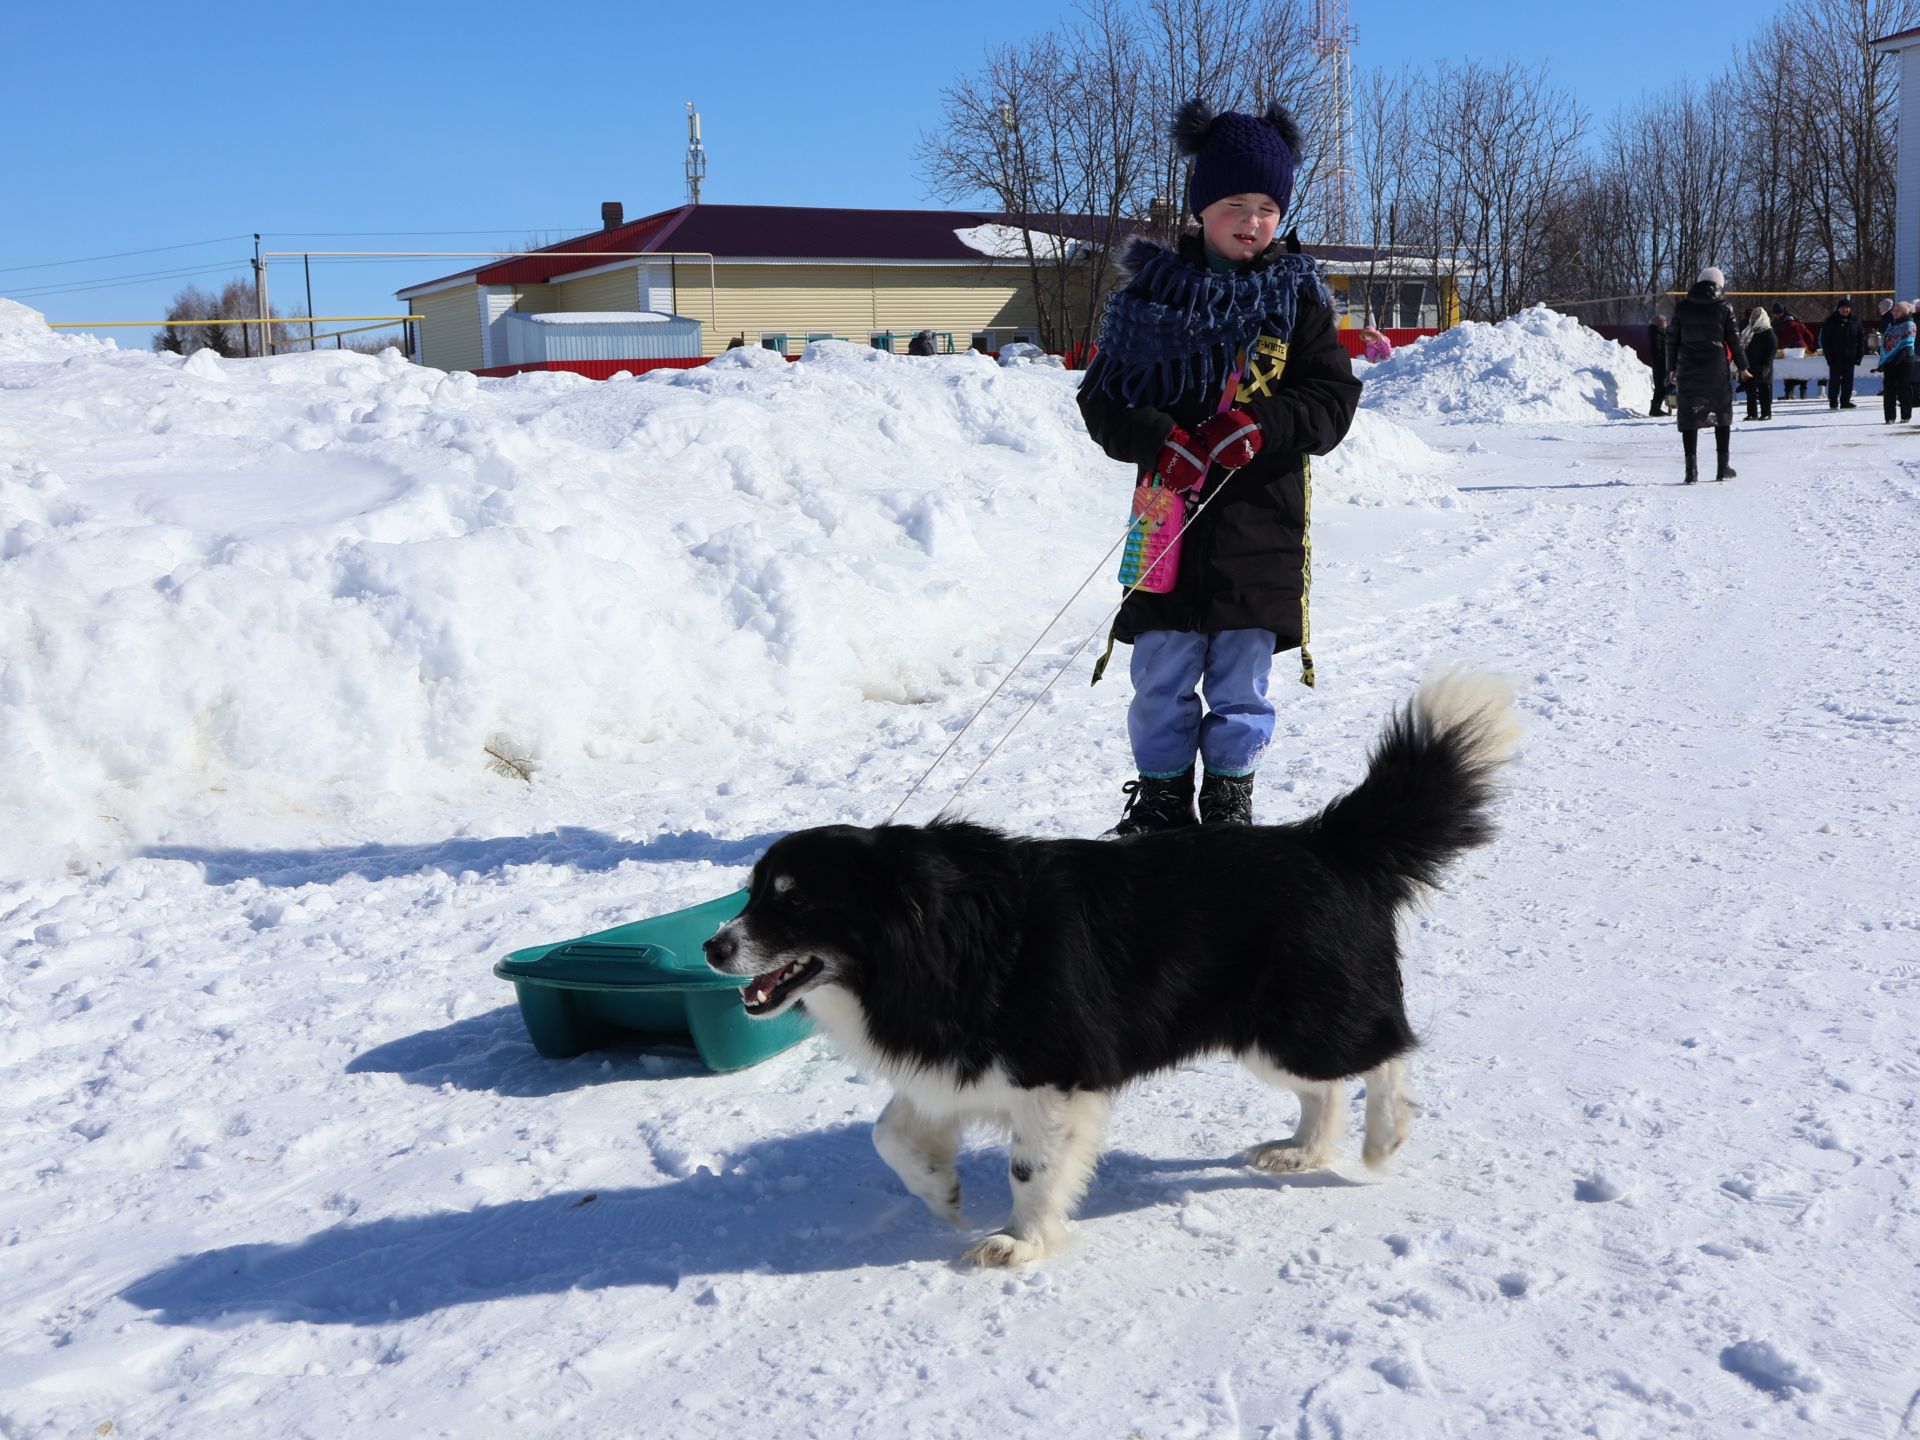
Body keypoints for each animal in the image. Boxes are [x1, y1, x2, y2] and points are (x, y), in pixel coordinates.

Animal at [698, 672, 1520, 1267]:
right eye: (751, 893)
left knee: (1383, 1055)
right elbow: (890, 1131)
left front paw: (1019, 1242)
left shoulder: (1054, 1074)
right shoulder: (951, 1059)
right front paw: (941, 1193)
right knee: (1327, 1087)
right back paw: (1301, 1151)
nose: (713, 948)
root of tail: (1328, 842)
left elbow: (1031, 1169)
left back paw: (1384, 1138)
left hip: (1300, 1018)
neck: (934, 936)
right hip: (1266, 1032)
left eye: (794, 901)